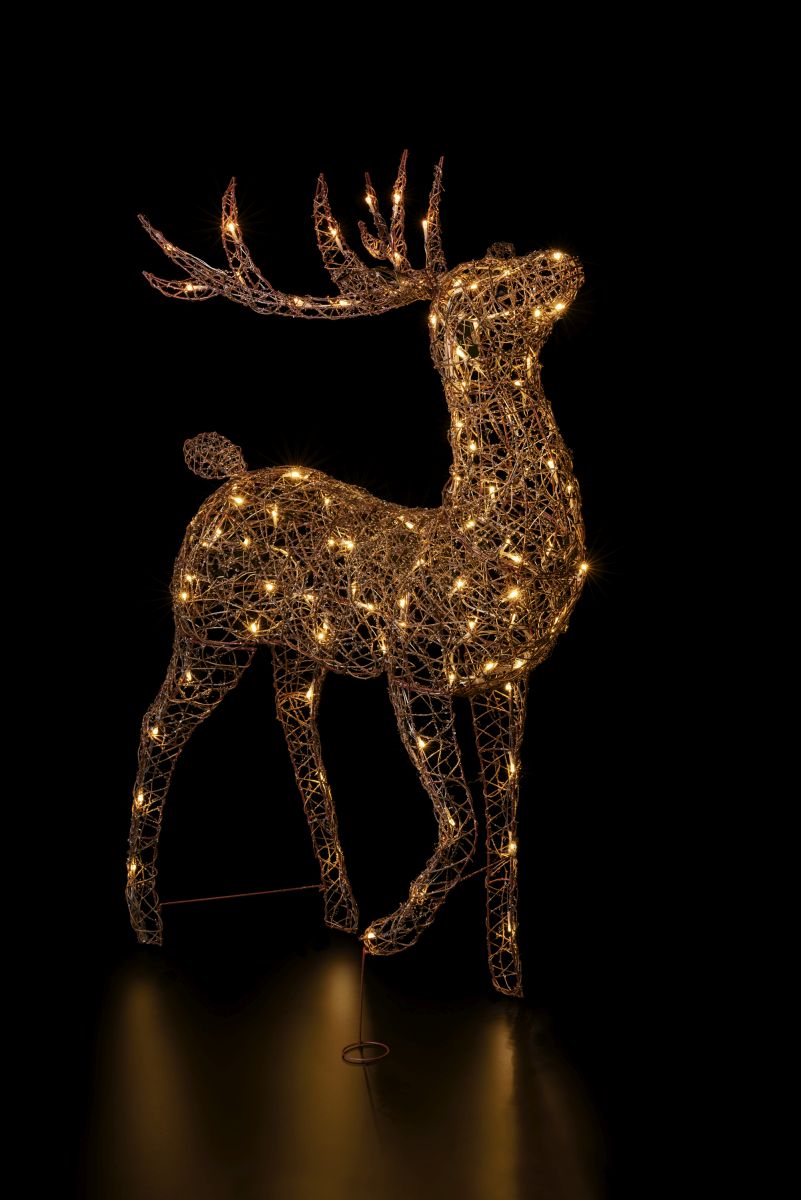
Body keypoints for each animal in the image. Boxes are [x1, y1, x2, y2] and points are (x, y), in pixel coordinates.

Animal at [128, 153, 588, 997]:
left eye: (504, 258)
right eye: (480, 285)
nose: (559, 258)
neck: (484, 539)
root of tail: (226, 478)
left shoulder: (507, 678)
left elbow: (507, 830)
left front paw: (507, 977)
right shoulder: (416, 670)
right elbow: (465, 823)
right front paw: (394, 933)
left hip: (293, 644)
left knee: (293, 728)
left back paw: (339, 907)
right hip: (207, 628)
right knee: (155, 728)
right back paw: (147, 921)